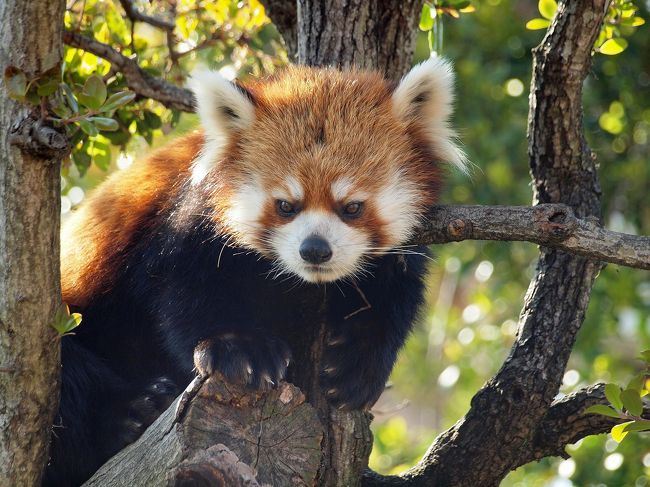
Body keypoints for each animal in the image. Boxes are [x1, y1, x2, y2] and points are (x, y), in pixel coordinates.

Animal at [48, 56, 464, 484]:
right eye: (285, 206)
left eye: (352, 207)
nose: (315, 250)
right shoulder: (184, 227)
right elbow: (184, 292)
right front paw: (241, 349)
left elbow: (390, 298)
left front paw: (358, 365)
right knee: (67, 371)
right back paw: (131, 411)